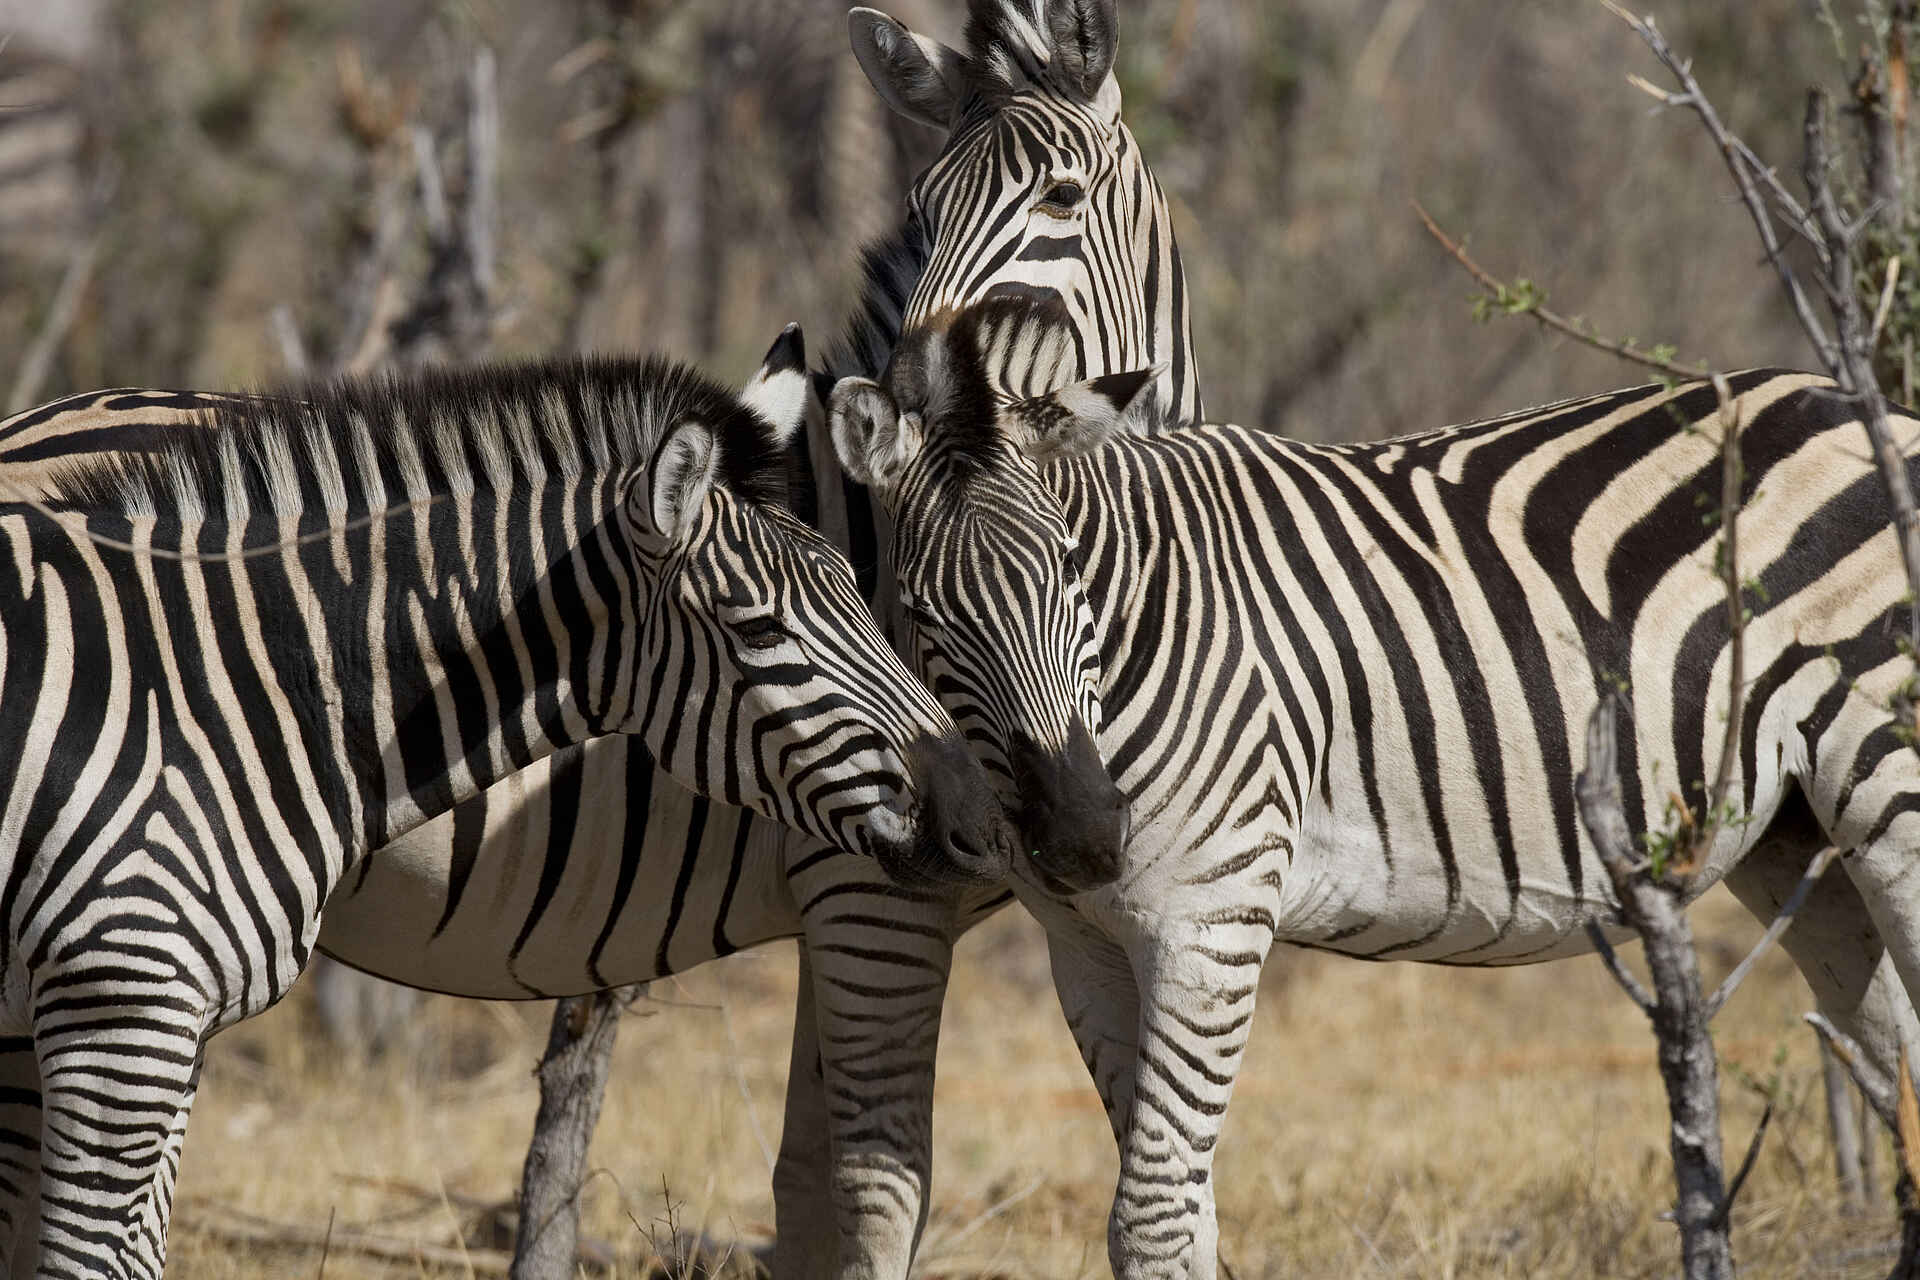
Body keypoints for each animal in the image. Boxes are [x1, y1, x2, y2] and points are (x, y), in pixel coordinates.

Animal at [0, 329, 1018, 1279]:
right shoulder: (124, 1008)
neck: (219, 685)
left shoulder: (168, 1021)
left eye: (868, 596)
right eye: (761, 628)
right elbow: (881, 1181)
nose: (984, 819)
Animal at [829, 293, 1920, 1278]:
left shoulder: (1212, 915)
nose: (1087, 835)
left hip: (1888, 776)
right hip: (1795, 832)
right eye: (920, 612)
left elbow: (1151, 1221)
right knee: (1898, 1060)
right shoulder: (1086, 946)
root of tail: (1863, 406)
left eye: (1071, 578)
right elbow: (1185, 1211)